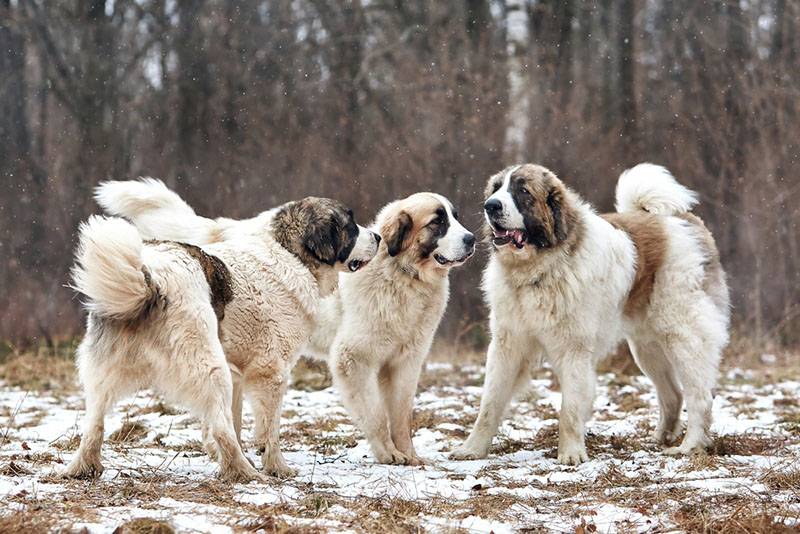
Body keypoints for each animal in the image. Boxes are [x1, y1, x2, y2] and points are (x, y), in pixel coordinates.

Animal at [65, 193, 378, 482]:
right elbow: (268, 429)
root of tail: (149, 278)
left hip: (104, 370)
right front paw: (277, 467)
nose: (377, 237)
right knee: (220, 426)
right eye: (350, 226)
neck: (290, 253)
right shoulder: (270, 372)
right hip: (210, 368)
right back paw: (244, 472)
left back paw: (83, 467)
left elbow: (237, 422)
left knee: (94, 423)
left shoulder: (239, 373)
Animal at [99, 182, 476, 466]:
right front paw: (387, 454)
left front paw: (409, 456)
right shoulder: (354, 360)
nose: (471, 238)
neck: (404, 276)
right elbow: (375, 416)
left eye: (455, 218)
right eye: (438, 222)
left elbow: (400, 417)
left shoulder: (406, 362)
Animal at [454, 162, 728, 464]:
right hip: (647, 348)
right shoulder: (508, 345)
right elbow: (490, 403)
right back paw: (660, 438)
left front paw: (571, 454)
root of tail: (682, 219)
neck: (540, 269)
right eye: (495, 189)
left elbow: (570, 408)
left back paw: (690, 446)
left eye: (523, 191)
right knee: (673, 394)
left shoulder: (574, 349)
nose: (490, 205)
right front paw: (472, 449)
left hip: (682, 336)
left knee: (699, 395)